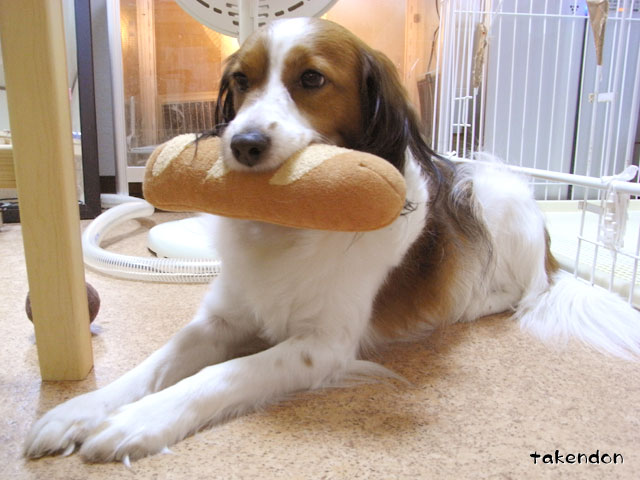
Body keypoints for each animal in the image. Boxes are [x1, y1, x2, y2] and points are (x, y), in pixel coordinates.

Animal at [24, 17, 640, 463]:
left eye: (312, 79)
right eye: (241, 81)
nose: (242, 143)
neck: (289, 223)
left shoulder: (322, 346)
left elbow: (214, 376)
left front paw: (136, 421)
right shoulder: (220, 319)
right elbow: (154, 364)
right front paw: (80, 410)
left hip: (498, 191)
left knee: (529, 291)